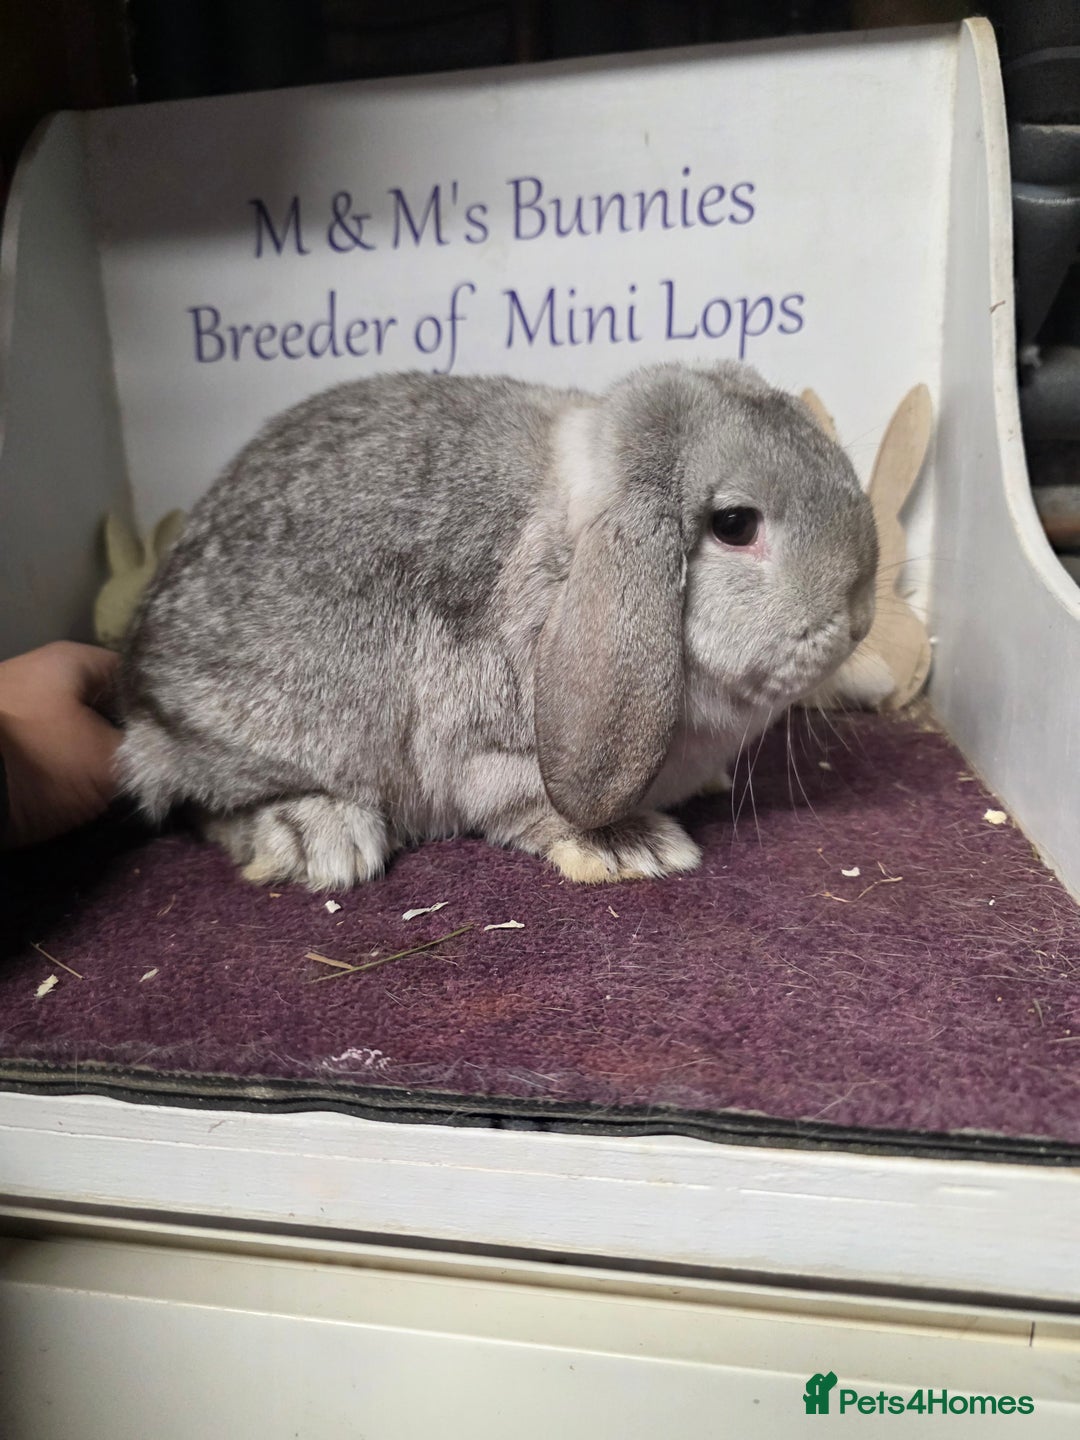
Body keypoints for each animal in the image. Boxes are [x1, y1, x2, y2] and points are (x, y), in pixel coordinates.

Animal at [118, 363, 877, 890]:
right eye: (735, 525)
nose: (861, 617)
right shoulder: (492, 751)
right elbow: (539, 808)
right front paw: (636, 850)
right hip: (273, 729)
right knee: (202, 799)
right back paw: (323, 838)